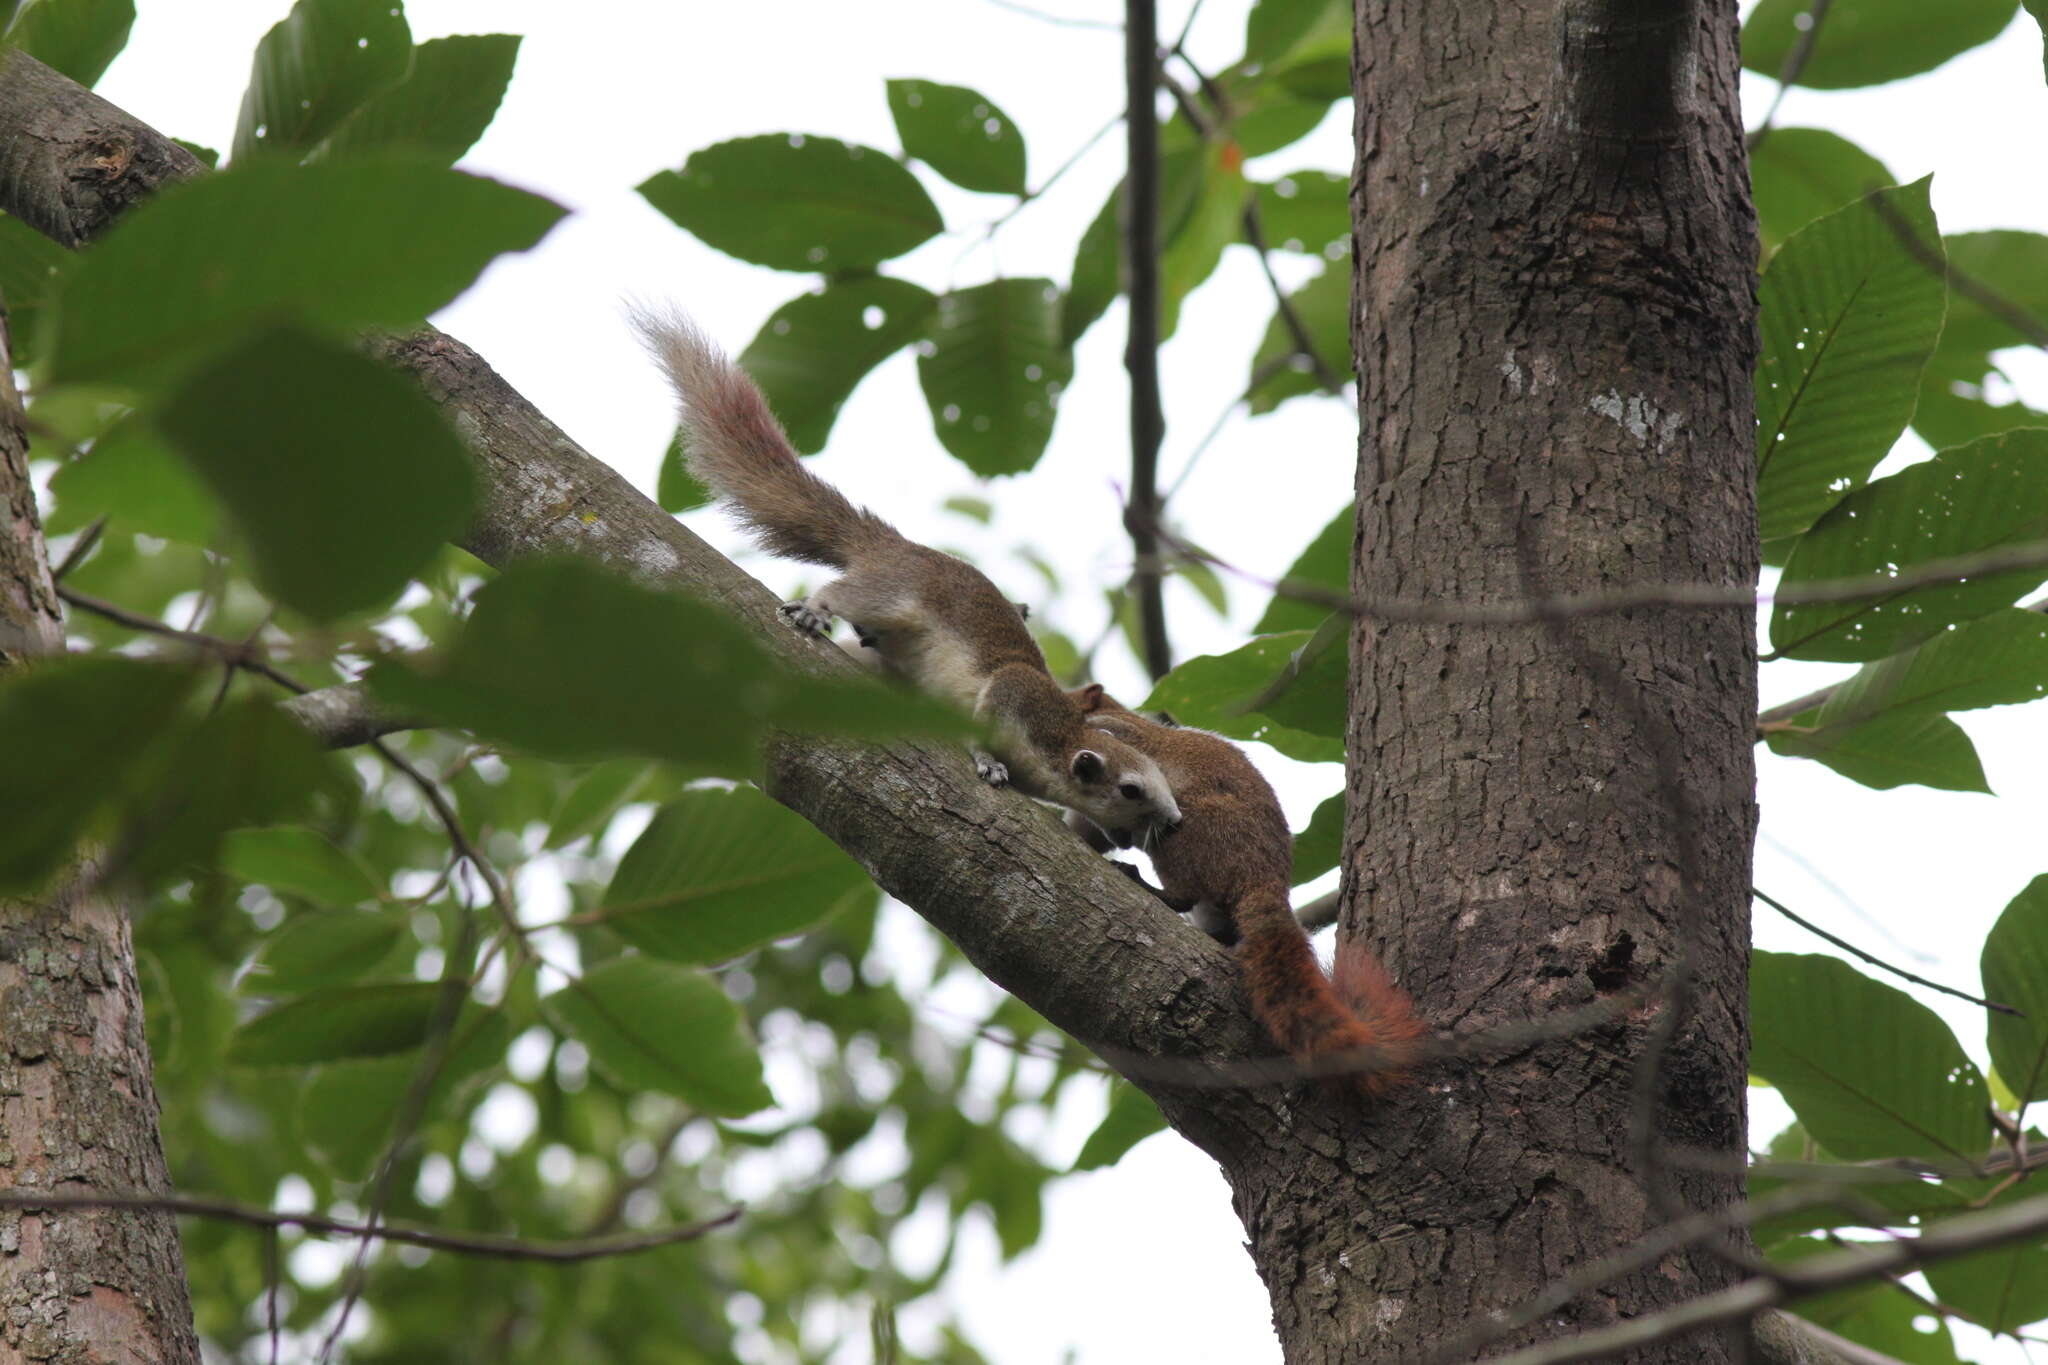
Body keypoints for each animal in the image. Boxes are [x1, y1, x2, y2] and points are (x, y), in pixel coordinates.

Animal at [634, 309, 1187, 843]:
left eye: (1160, 777)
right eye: (1131, 789)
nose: (1175, 820)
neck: (1059, 746)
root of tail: (894, 546)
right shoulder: (1017, 697)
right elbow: (985, 723)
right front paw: (987, 761)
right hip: (894, 590)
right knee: (847, 593)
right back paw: (815, 609)